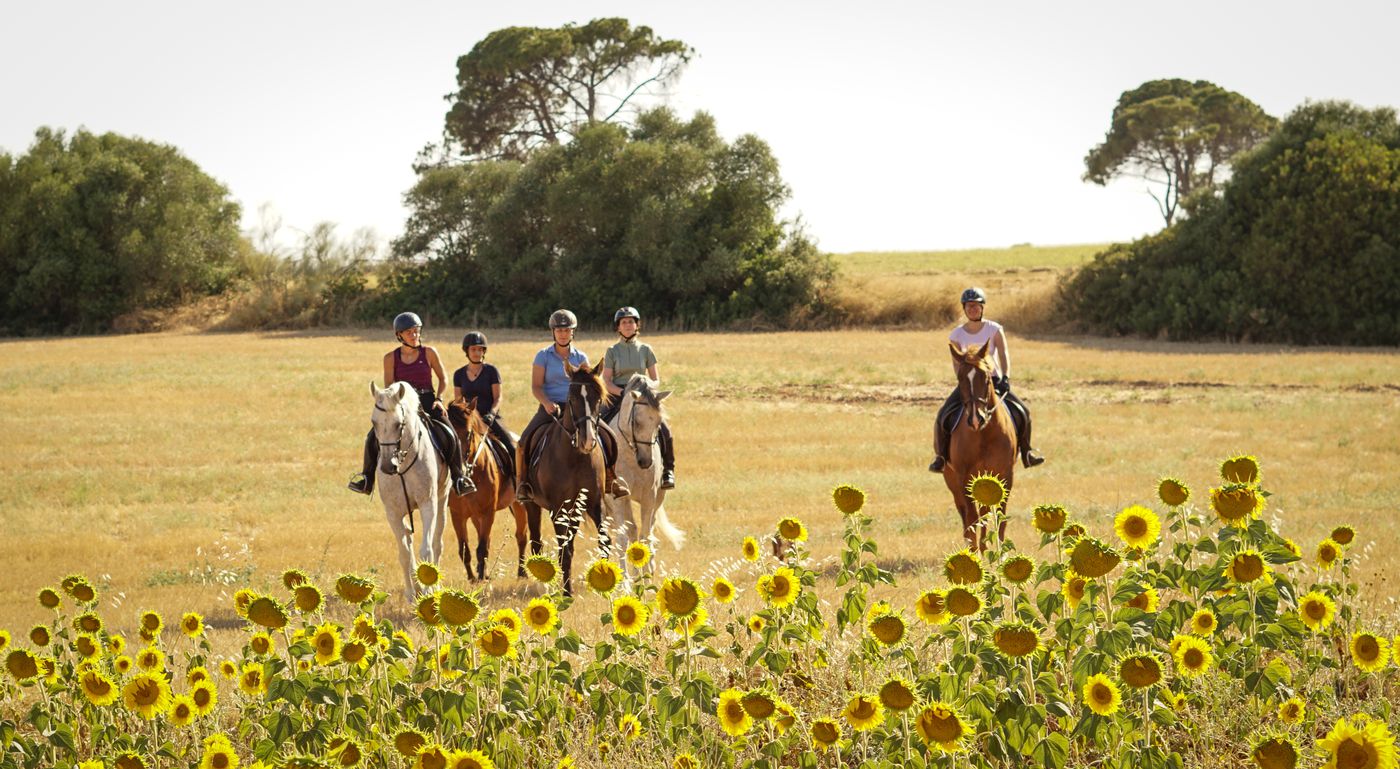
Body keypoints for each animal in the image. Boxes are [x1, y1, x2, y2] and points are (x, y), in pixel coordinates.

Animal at [366, 380, 448, 602]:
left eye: (398, 424)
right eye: (374, 422)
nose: (388, 466)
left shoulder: (428, 504)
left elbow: (426, 550)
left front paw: (428, 591)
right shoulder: (393, 513)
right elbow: (404, 553)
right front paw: (412, 594)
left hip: (443, 500)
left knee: (437, 542)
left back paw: (435, 586)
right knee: (408, 541)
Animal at [445, 397, 526, 579]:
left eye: (468, 434)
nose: (460, 469)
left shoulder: (488, 512)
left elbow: (482, 548)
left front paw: (481, 577)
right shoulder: (457, 515)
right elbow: (464, 550)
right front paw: (472, 578)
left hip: (519, 504)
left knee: (521, 536)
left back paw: (522, 572)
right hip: (475, 515)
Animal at [520, 358, 613, 593]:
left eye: (598, 398)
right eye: (571, 399)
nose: (588, 441)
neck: (576, 456)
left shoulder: (594, 502)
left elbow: (604, 541)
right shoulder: (558, 508)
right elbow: (564, 549)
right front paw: (567, 593)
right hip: (531, 504)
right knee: (536, 542)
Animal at [604, 372, 686, 568]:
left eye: (658, 422)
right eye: (635, 421)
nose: (646, 461)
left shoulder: (650, 497)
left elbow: (646, 537)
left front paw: (648, 573)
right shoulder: (619, 499)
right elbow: (623, 539)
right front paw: (625, 576)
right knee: (626, 533)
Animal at [940, 341, 1019, 551]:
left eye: (986, 378)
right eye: (960, 378)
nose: (976, 419)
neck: (983, 434)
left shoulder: (1005, 474)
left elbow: (998, 513)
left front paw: (999, 551)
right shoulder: (963, 477)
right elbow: (973, 516)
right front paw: (976, 551)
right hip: (951, 478)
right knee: (965, 513)